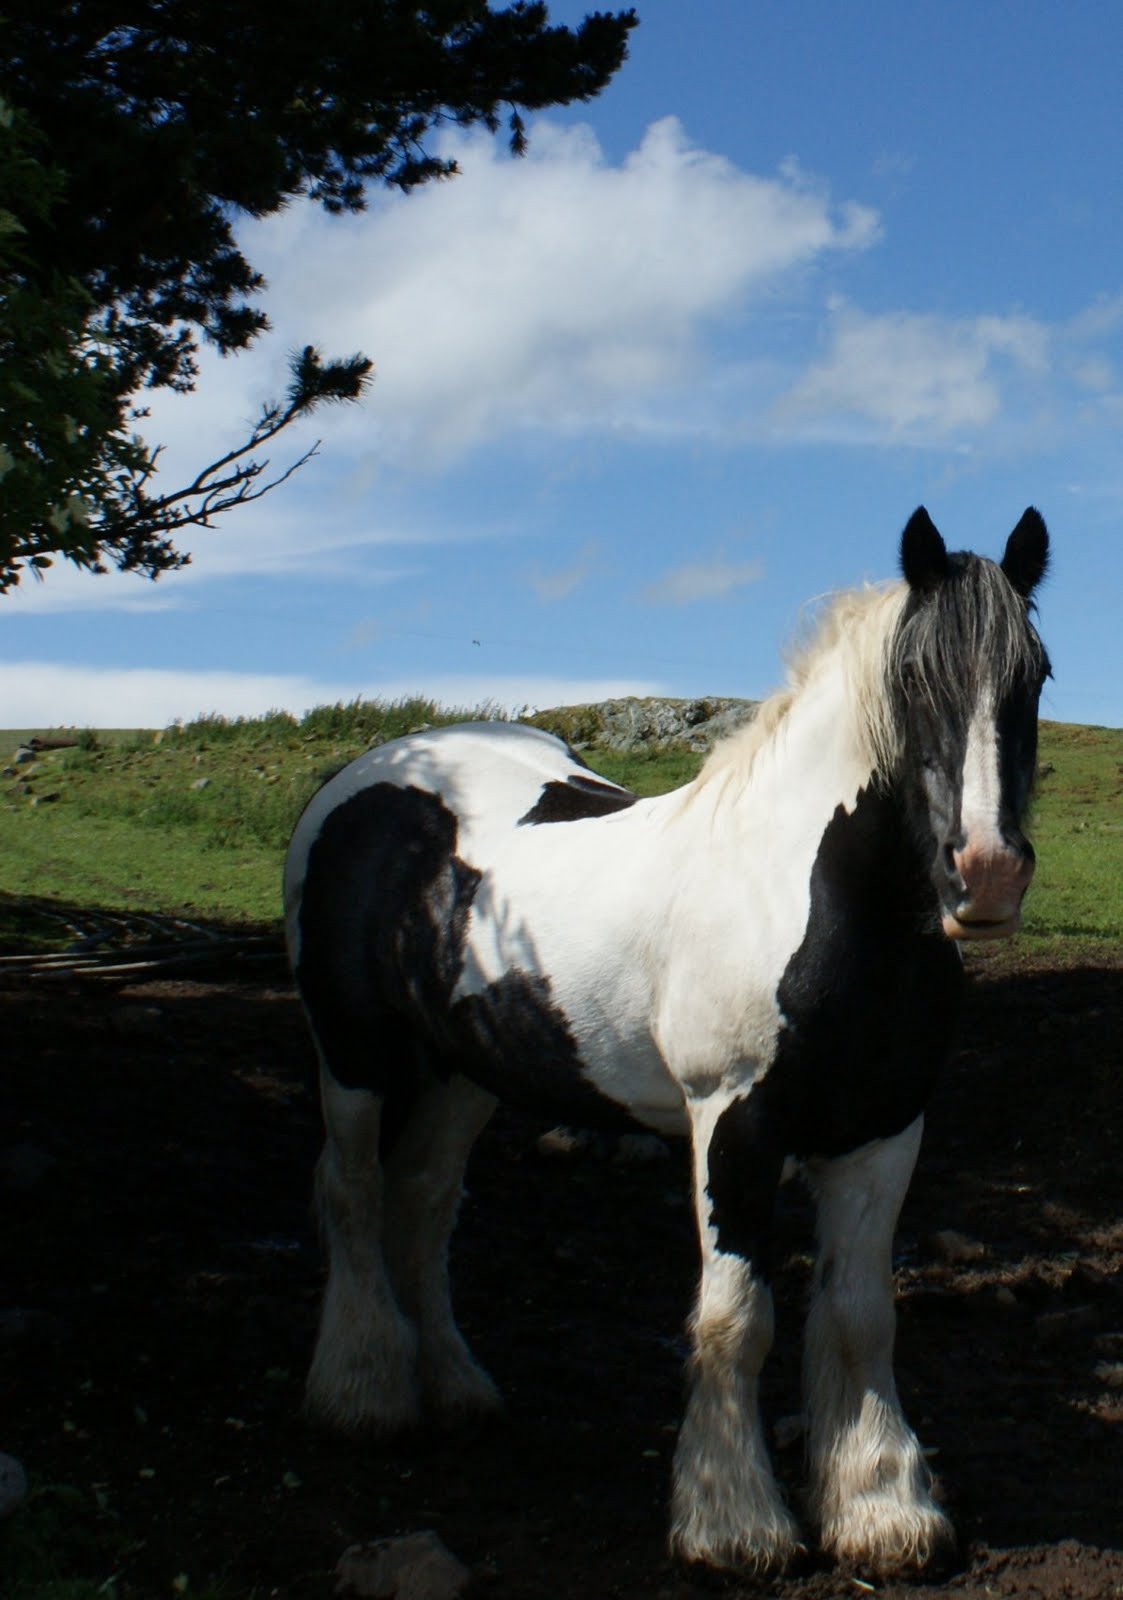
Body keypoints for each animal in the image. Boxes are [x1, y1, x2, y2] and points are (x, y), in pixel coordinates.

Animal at [284, 506, 1050, 1575]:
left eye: (1036, 675)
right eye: (911, 679)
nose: (983, 874)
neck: (812, 897)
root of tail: (373, 774)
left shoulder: (883, 1131)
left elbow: (860, 1317)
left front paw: (881, 1513)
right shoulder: (731, 1126)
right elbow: (735, 1320)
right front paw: (732, 1524)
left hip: (463, 1074)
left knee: (423, 1205)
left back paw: (456, 1390)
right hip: (351, 1054)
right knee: (351, 1193)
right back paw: (365, 1395)